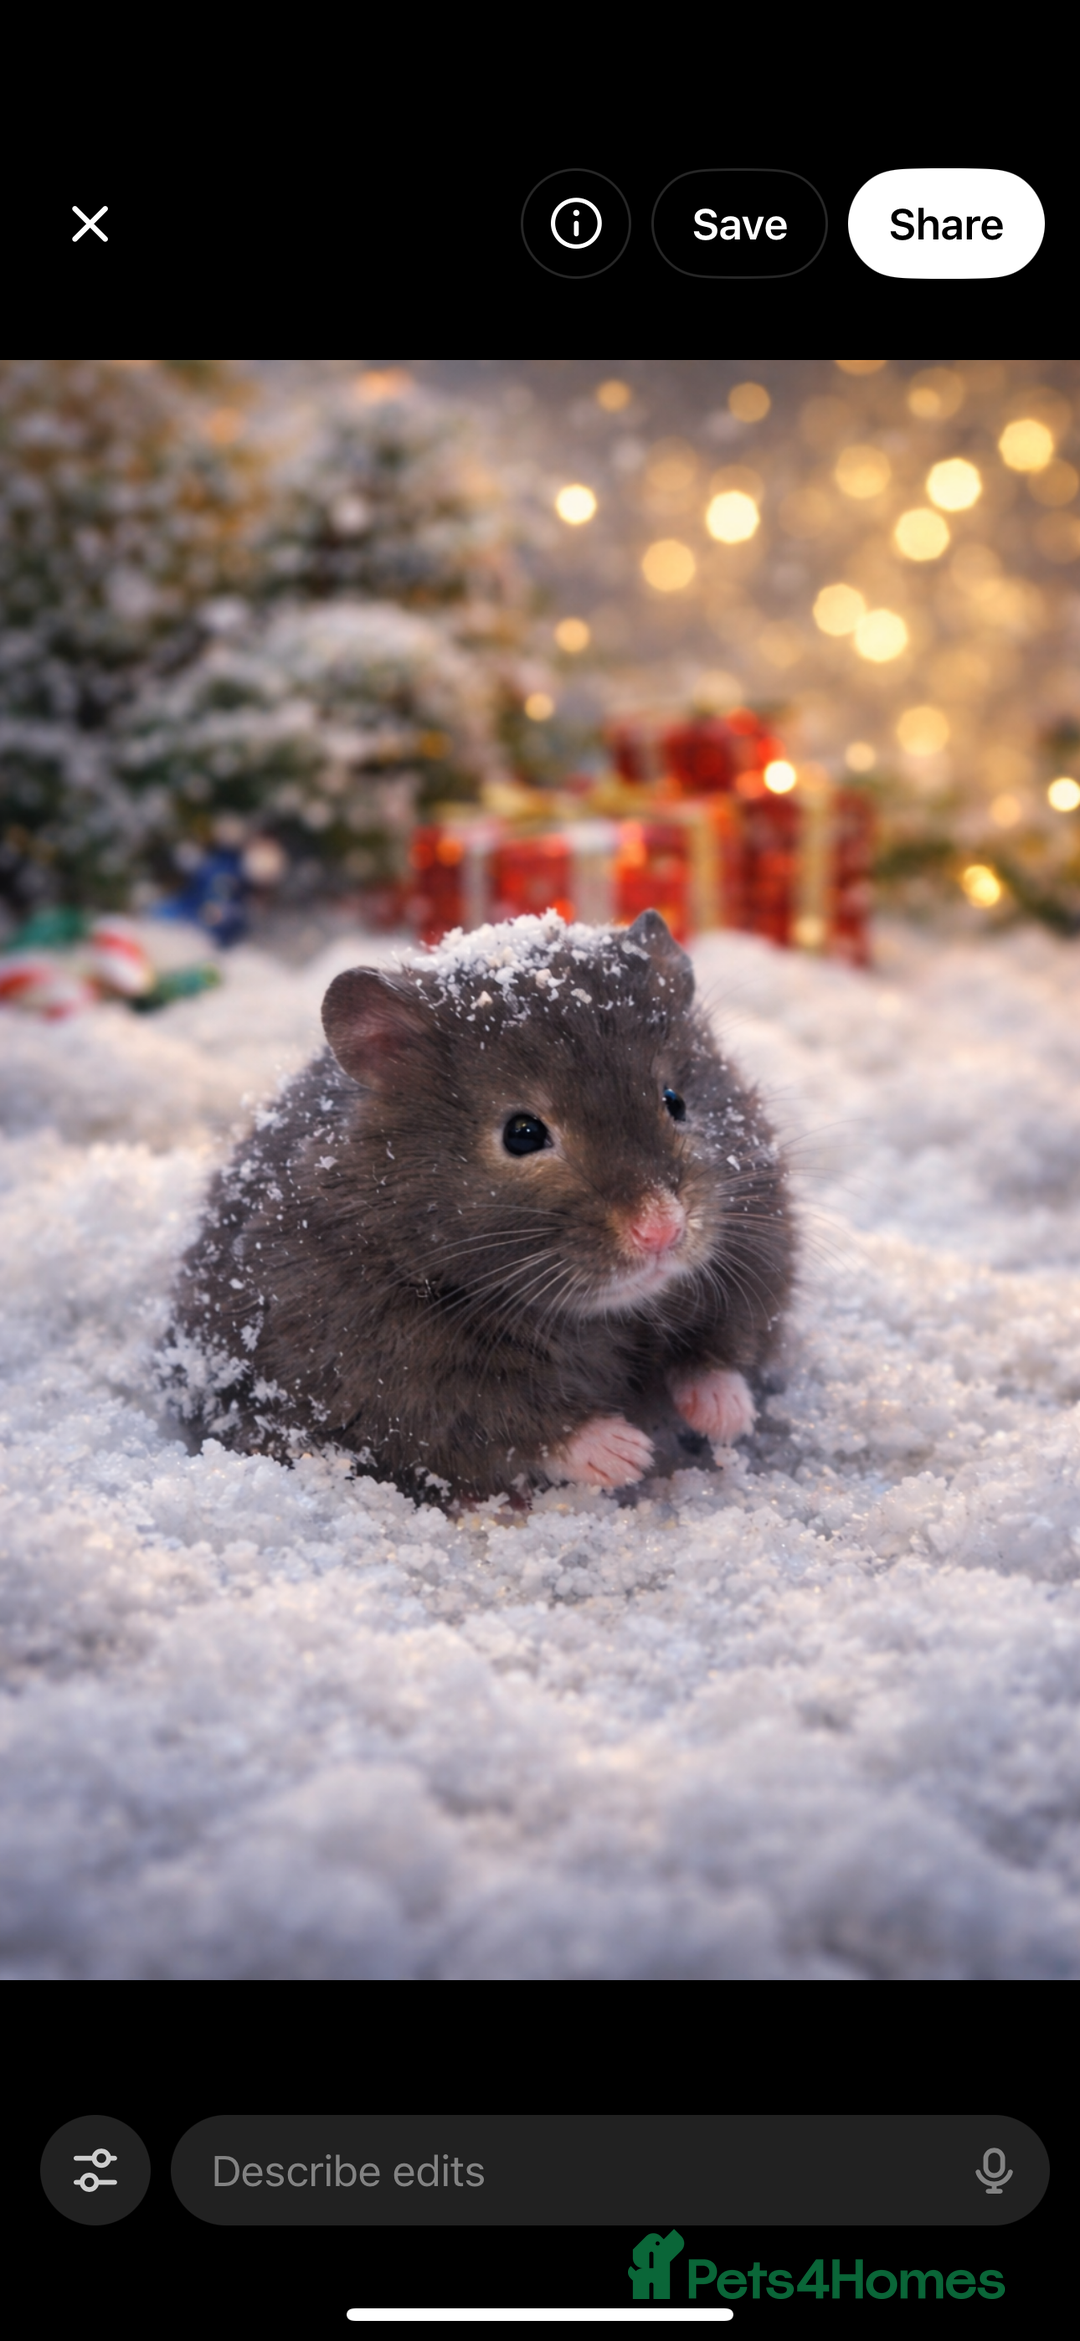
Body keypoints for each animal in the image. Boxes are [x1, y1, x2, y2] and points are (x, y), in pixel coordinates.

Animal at [161, 908, 795, 1505]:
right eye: (522, 1133)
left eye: (675, 1100)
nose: (661, 1231)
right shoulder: (391, 1371)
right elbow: (507, 1417)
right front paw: (629, 1454)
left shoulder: (759, 1246)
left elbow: (723, 1350)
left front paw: (726, 1420)